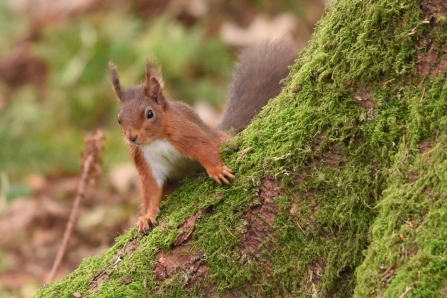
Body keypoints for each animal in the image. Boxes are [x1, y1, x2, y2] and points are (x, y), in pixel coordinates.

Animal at [109, 37, 298, 233]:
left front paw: (217, 170)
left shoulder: (183, 131)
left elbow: (203, 147)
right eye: (119, 119)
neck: (155, 141)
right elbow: (151, 189)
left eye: (150, 113)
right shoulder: (144, 158)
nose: (132, 137)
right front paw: (148, 215)